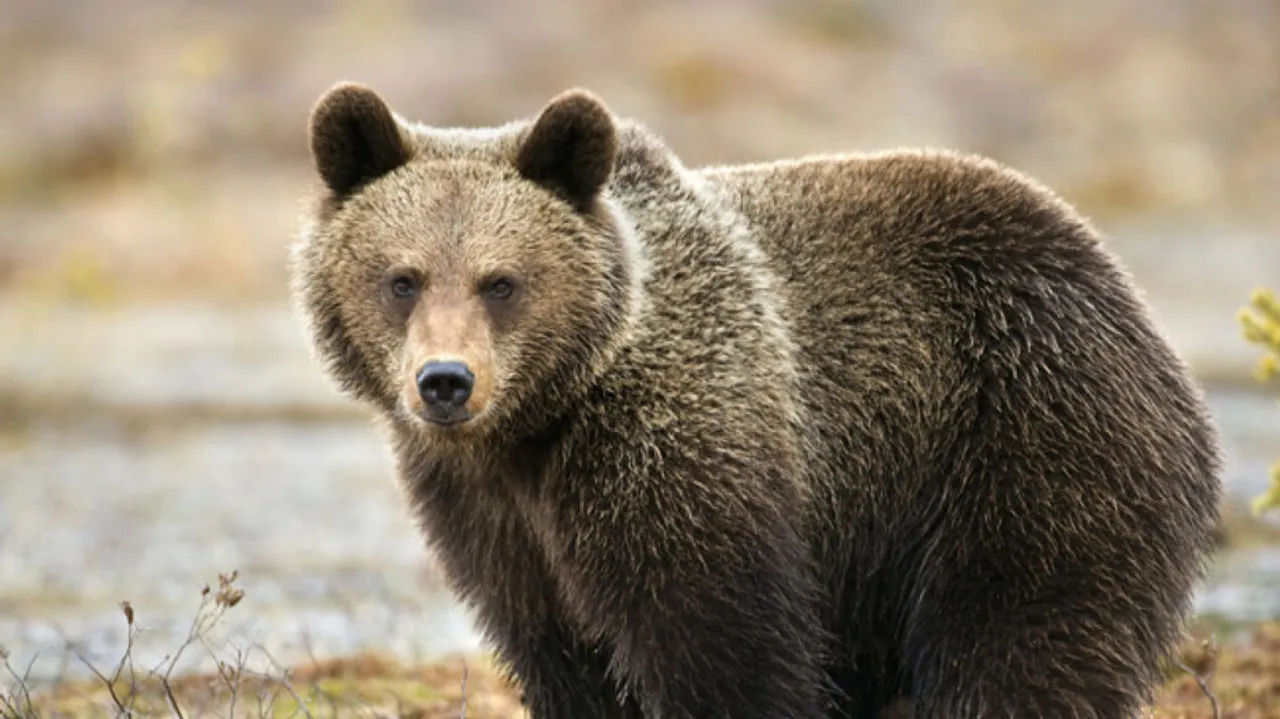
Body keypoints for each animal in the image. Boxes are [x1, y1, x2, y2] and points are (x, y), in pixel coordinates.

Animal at [290, 82, 1224, 719]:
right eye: (403, 278)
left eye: (502, 281)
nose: (446, 381)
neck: (540, 424)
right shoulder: (496, 522)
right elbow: (565, 658)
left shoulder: (675, 447)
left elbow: (722, 644)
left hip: (1025, 436)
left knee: (1020, 643)